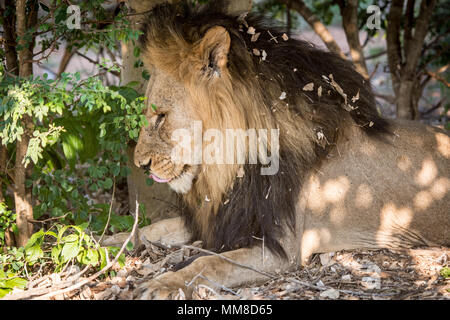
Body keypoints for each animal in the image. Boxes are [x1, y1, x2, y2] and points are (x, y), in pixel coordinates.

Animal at [103, 1, 448, 300]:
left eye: (161, 116)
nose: (141, 163)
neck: (229, 167)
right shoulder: (222, 219)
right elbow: (153, 227)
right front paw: (106, 242)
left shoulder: (282, 247)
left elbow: (209, 262)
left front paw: (161, 283)